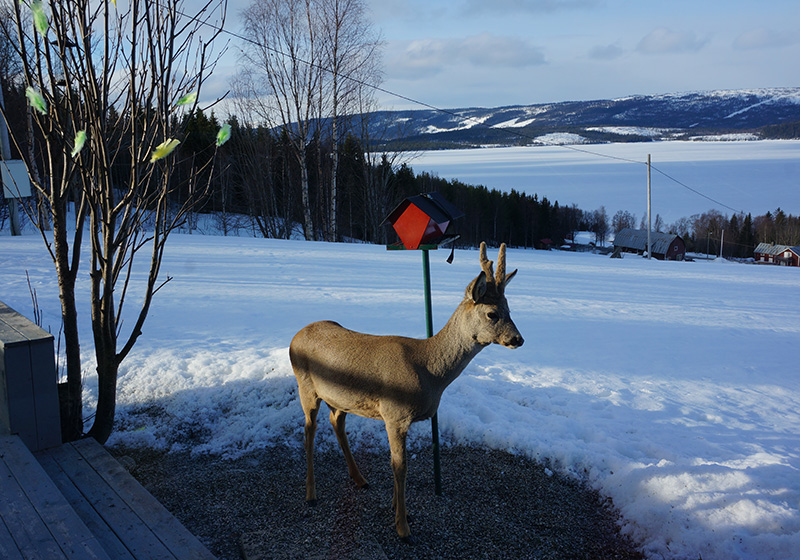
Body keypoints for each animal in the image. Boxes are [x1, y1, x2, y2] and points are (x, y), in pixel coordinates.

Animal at [290, 243, 524, 540]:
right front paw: (403, 526)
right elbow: (399, 466)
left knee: (336, 423)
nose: (518, 339)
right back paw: (311, 494)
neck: (429, 371)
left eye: (510, 309)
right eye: (492, 313)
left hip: (341, 399)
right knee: (309, 431)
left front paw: (396, 508)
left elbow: (396, 465)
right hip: (305, 386)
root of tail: (295, 337)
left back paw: (360, 479)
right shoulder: (395, 414)